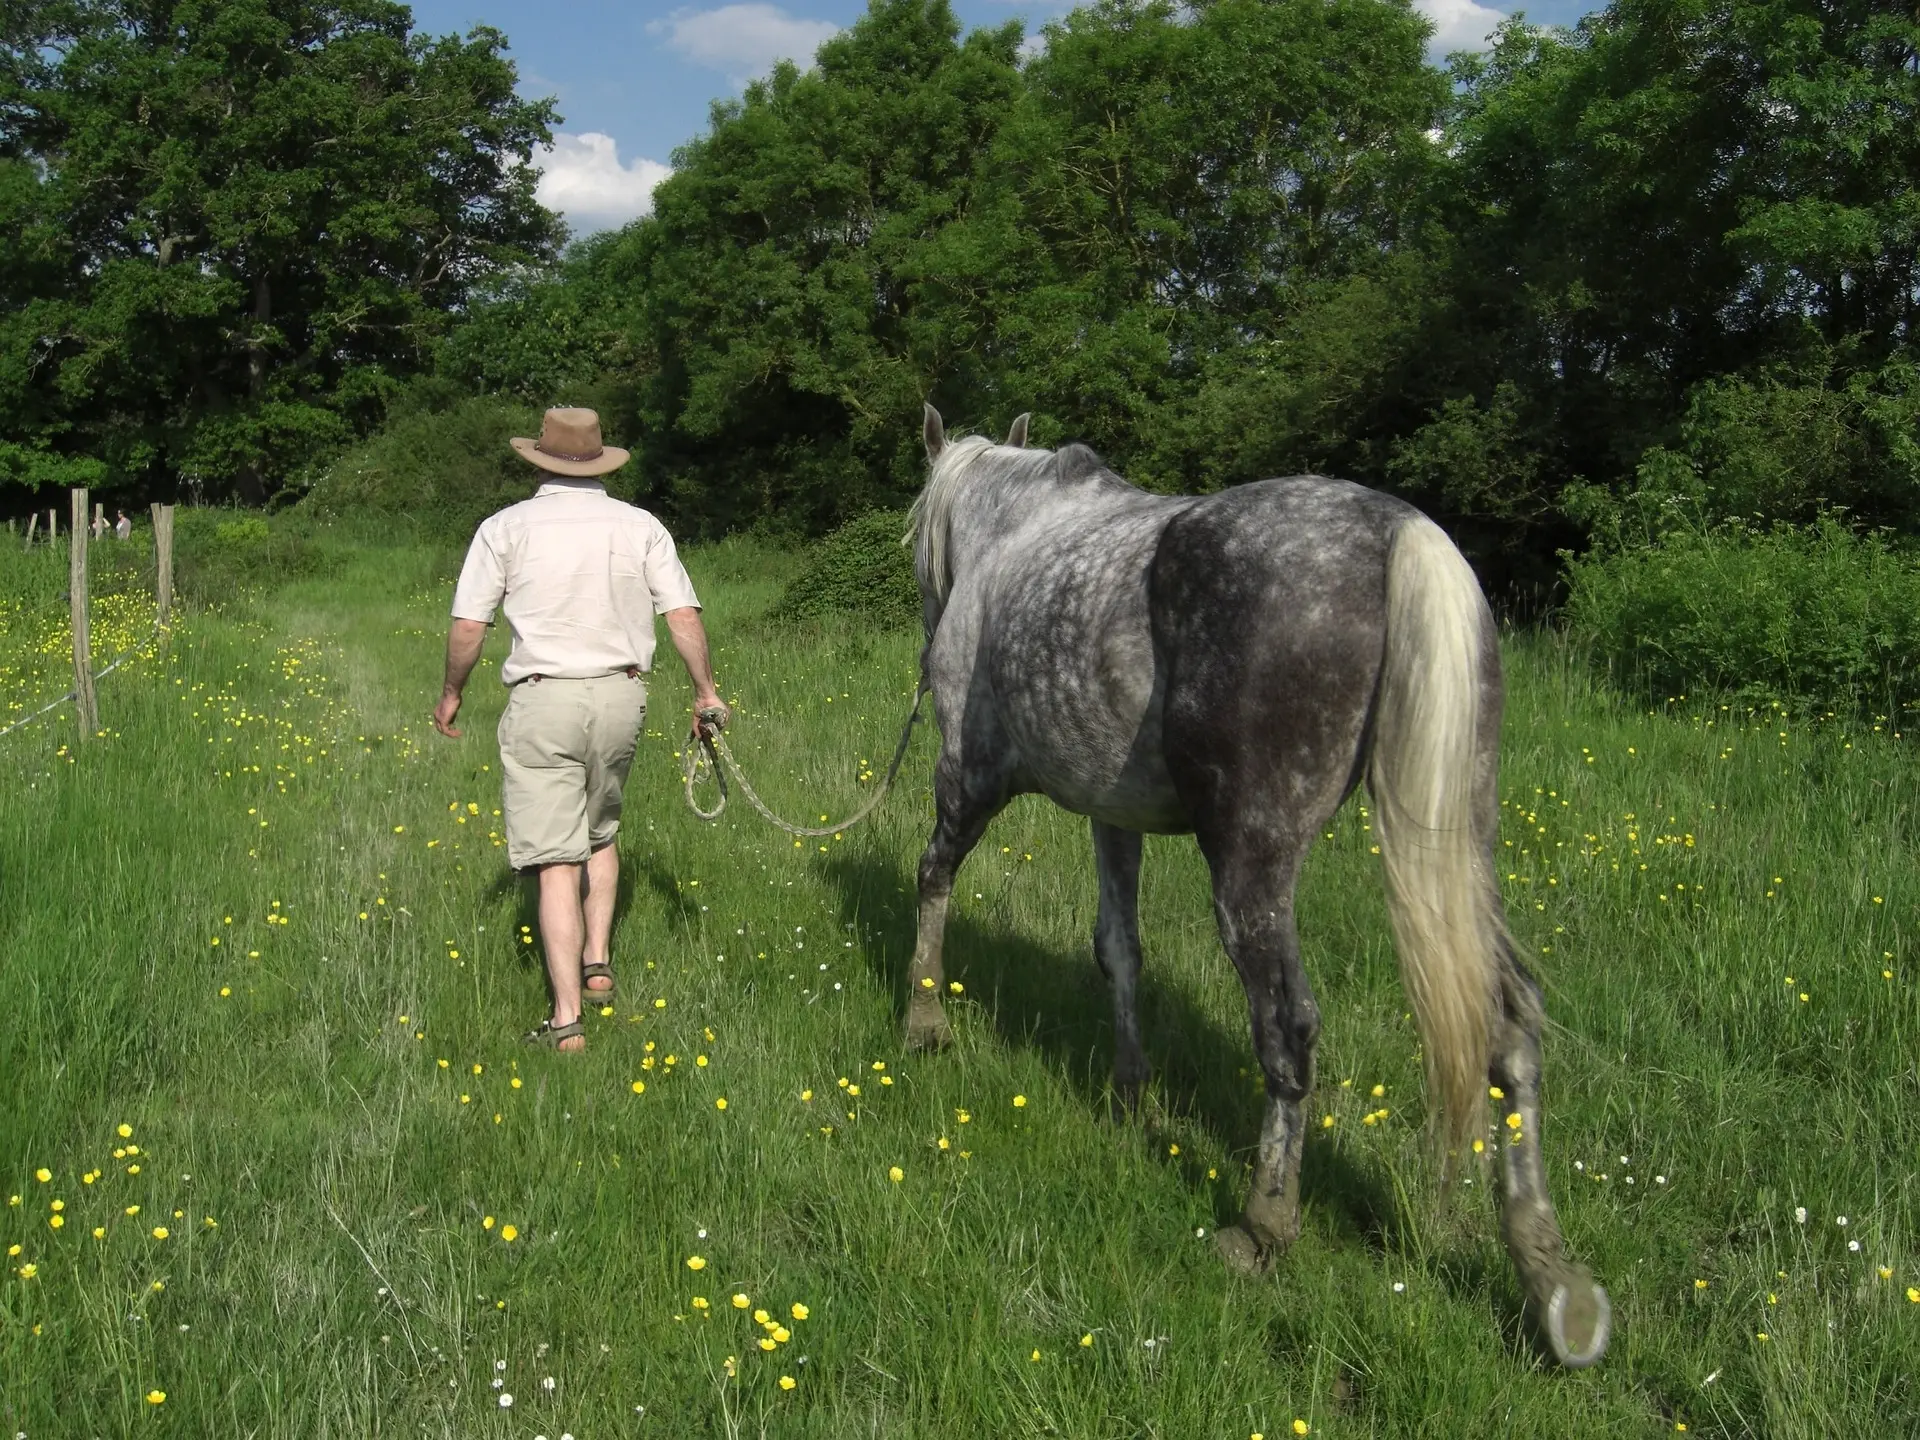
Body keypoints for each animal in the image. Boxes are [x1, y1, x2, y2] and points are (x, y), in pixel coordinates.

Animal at [898, 403, 1605, 1367]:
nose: (926, 637)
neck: (1013, 531)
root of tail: (1402, 535)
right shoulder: (1111, 813)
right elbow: (1119, 948)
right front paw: (1129, 1095)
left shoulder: (968, 773)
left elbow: (935, 875)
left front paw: (923, 1017)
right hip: (1463, 851)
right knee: (1512, 1020)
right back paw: (1547, 1272)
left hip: (1251, 865)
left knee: (1287, 1027)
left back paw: (1264, 1224)